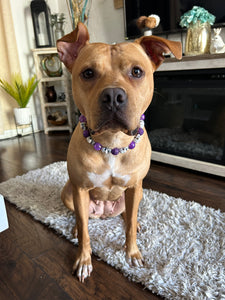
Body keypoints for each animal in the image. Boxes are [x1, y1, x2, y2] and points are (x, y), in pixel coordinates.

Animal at [57, 22, 182, 282]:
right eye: (88, 73)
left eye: (137, 72)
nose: (113, 96)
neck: (112, 143)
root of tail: (104, 212)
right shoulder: (80, 189)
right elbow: (85, 231)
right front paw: (83, 260)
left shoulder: (134, 187)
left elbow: (130, 223)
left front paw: (132, 252)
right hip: (68, 192)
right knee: (81, 218)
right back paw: (75, 228)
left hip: (138, 193)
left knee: (127, 215)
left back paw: (135, 224)